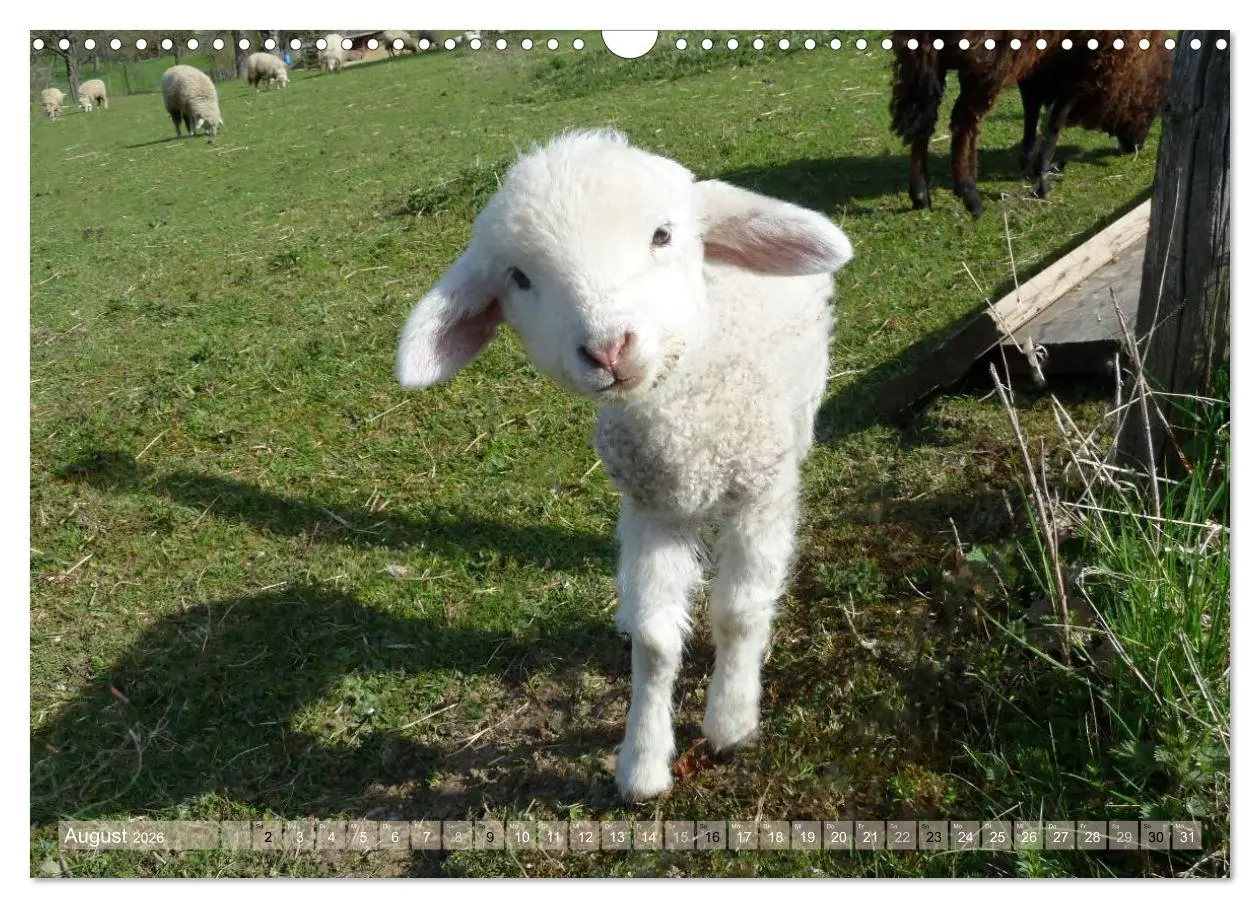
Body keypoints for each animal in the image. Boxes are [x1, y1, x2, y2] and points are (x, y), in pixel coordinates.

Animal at [395, 129, 854, 802]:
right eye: (519, 278)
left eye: (662, 235)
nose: (609, 349)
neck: (683, 416)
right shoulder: (651, 505)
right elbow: (657, 641)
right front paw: (642, 762)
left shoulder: (759, 487)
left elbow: (739, 612)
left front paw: (730, 720)